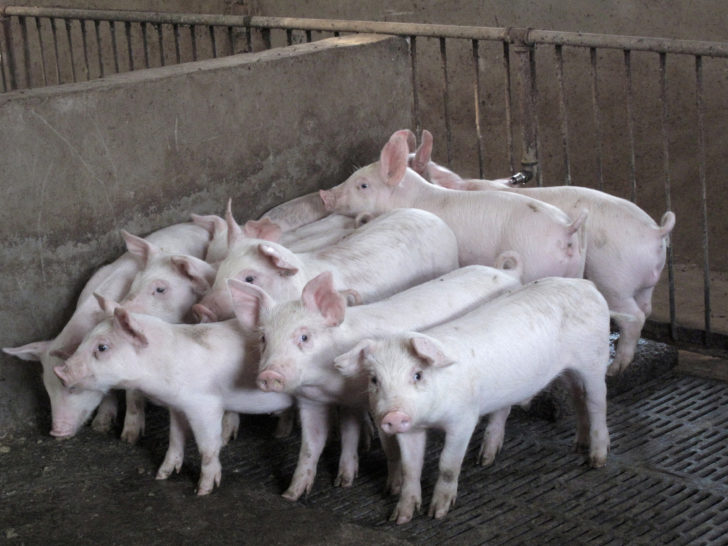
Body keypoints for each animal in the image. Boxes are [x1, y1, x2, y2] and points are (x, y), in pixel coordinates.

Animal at [2, 222, 210, 439]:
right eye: (48, 389)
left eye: (73, 389)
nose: (56, 432)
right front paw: (101, 426)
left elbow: (133, 389)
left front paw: (129, 437)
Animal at [53, 295, 293, 496]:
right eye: (85, 339)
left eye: (102, 347)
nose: (59, 371)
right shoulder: (177, 406)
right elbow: (175, 438)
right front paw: (161, 475)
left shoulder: (205, 406)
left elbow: (207, 447)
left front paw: (202, 491)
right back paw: (280, 435)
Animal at [229, 257, 522, 501]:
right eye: (263, 338)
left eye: (304, 336)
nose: (269, 375)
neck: (325, 386)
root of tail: (506, 273)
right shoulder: (313, 402)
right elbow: (311, 446)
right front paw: (294, 494)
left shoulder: (370, 403)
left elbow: (379, 444)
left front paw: (384, 488)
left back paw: (485, 459)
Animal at [319, 131, 588, 283]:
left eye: (363, 185)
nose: (324, 194)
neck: (414, 198)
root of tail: (567, 229)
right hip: (577, 267)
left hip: (534, 261)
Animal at [335, 276, 611, 524]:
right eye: (374, 380)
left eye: (417, 374)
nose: (393, 416)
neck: (430, 418)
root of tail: (585, 284)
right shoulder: (410, 429)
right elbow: (410, 467)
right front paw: (400, 518)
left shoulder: (463, 418)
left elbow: (448, 464)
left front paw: (437, 513)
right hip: (567, 371)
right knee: (576, 398)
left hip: (594, 360)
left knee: (597, 403)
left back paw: (596, 460)